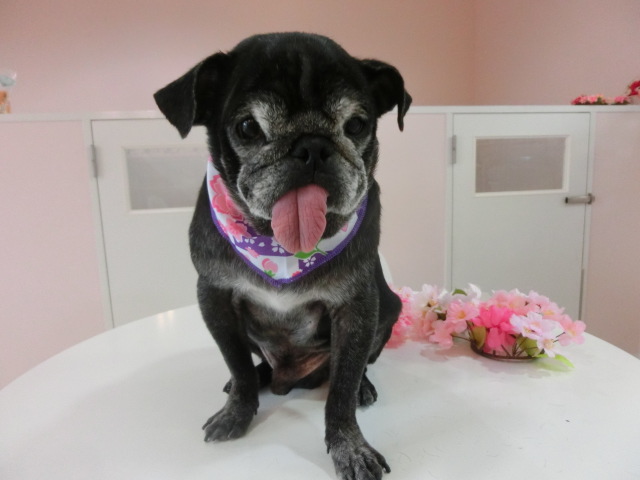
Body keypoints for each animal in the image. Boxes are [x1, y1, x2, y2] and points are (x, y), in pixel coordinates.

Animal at [154, 32, 411, 480]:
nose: (312, 146)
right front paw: (237, 410)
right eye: (247, 127)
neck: (280, 247)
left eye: (356, 125)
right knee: (251, 364)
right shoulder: (215, 298)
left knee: (357, 367)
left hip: (388, 309)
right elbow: (237, 363)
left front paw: (349, 445)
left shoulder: (358, 309)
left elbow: (342, 387)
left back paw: (363, 386)